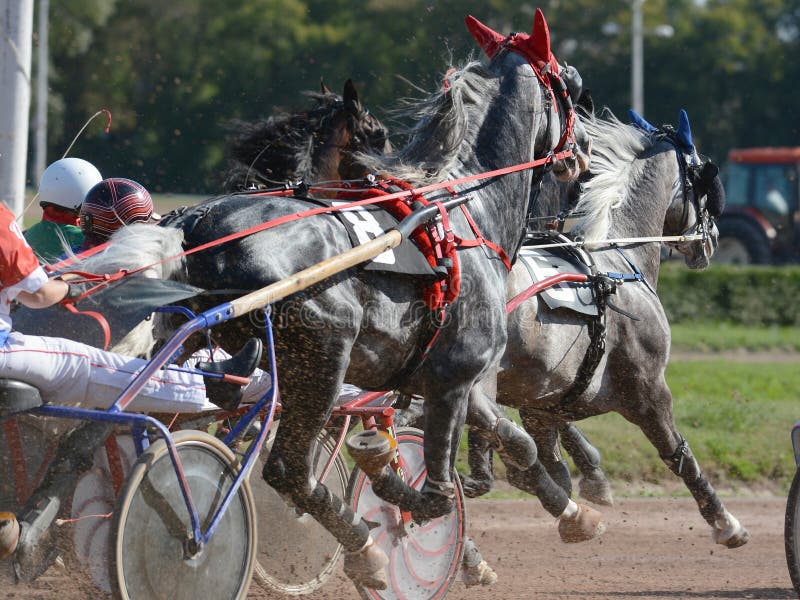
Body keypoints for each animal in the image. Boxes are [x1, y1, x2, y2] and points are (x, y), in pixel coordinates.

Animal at [119, 12, 592, 584]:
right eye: (571, 86)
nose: (583, 159)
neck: (462, 211)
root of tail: (193, 224)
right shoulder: (455, 373)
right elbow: (436, 493)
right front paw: (392, 493)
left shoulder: (452, 377)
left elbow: (514, 440)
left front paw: (573, 512)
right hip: (322, 355)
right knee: (287, 469)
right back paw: (356, 548)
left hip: (191, 341)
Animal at [468, 110, 752, 552]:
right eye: (703, 179)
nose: (711, 241)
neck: (617, 262)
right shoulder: (648, 389)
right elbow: (677, 454)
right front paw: (725, 522)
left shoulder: (541, 399)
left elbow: (543, 458)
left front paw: (580, 488)